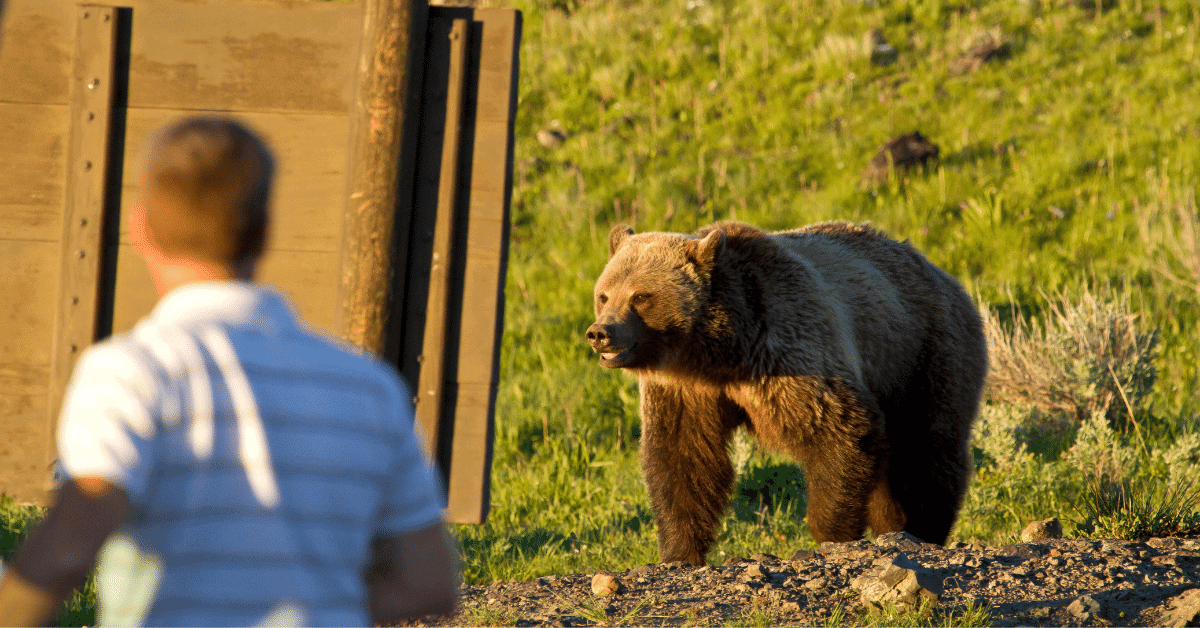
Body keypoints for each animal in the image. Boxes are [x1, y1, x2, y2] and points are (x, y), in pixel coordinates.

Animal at [585, 219, 988, 564]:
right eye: (604, 295)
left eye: (640, 296)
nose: (600, 332)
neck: (718, 350)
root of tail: (941, 272)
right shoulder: (686, 389)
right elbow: (684, 459)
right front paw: (679, 552)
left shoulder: (787, 350)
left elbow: (839, 430)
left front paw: (831, 534)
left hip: (923, 353)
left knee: (927, 449)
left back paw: (921, 529)